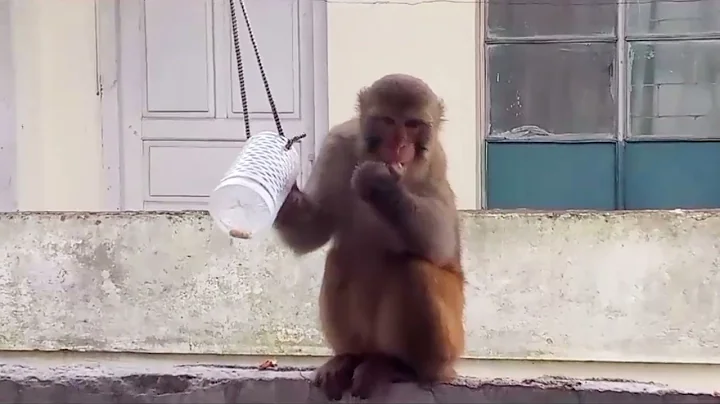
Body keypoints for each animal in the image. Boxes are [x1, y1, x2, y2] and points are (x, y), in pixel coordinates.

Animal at [272, 73, 465, 400]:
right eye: (388, 121)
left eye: (413, 124)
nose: (399, 145)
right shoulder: (337, 144)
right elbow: (314, 229)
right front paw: (282, 193)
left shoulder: (436, 159)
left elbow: (441, 242)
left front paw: (381, 185)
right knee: (341, 259)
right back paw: (350, 358)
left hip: (452, 338)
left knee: (415, 269)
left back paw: (403, 367)